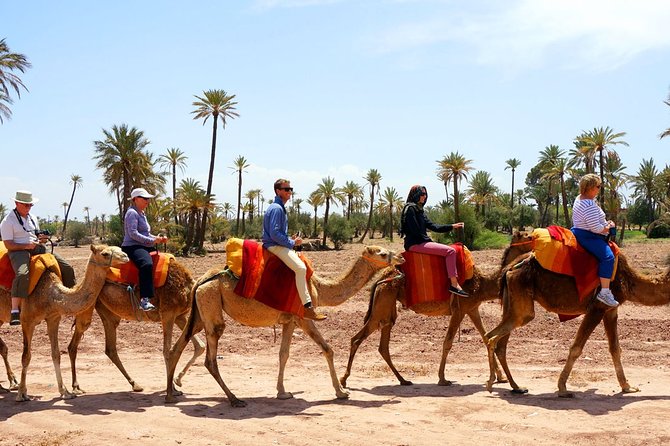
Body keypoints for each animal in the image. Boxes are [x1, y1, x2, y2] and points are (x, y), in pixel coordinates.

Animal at [0, 244, 129, 401]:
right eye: (105, 254)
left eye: (118, 249)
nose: (126, 256)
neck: (50, 294)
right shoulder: (27, 321)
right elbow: (26, 356)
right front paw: (21, 394)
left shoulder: (53, 318)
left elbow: (56, 354)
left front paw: (65, 392)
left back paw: (9, 383)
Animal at [67, 257, 205, 396]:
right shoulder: (168, 314)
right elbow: (167, 351)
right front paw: (173, 389)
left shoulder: (179, 316)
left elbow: (200, 346)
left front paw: (178, 380)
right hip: (88, 305)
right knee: (76, 341)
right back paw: (75, 387)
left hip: (108, 313)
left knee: (109, 348)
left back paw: (134, 384)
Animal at [164, 245, 403, 406]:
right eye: (382, 253)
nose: (400, 256)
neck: (318, 286)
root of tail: (199, 281)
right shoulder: (304, 317)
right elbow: (328, 349)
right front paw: (341, 392)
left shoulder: (290, 321)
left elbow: (284, 354)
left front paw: (282, 392)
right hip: (211, 303)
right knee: (210, 357)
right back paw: (234, 399)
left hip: (200, 313)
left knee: (177, 348)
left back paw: (170, 394)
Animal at [340, 232, 533, 388]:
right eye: (528, 237)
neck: (482, 284)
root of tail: (381, 278)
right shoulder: (459, 310)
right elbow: (448, 342)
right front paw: (442, 379)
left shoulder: (472, 308)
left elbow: (486, 338)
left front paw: (500, 377)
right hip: (382, 304)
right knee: (357, 339)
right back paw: (344, 380)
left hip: (386, 307)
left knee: (382, 346)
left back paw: (403, 380)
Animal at [484, 251, 669, 397]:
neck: (627, 280)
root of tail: (509, 268)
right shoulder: (597, 307)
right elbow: (576, 348)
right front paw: (562, 389)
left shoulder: (611, 310)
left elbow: (615, 348)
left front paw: (627, 387)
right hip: (522, 305)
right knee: (494, 337)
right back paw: (492, 383)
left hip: (511, 301)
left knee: (497, 341)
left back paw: (516, 387)